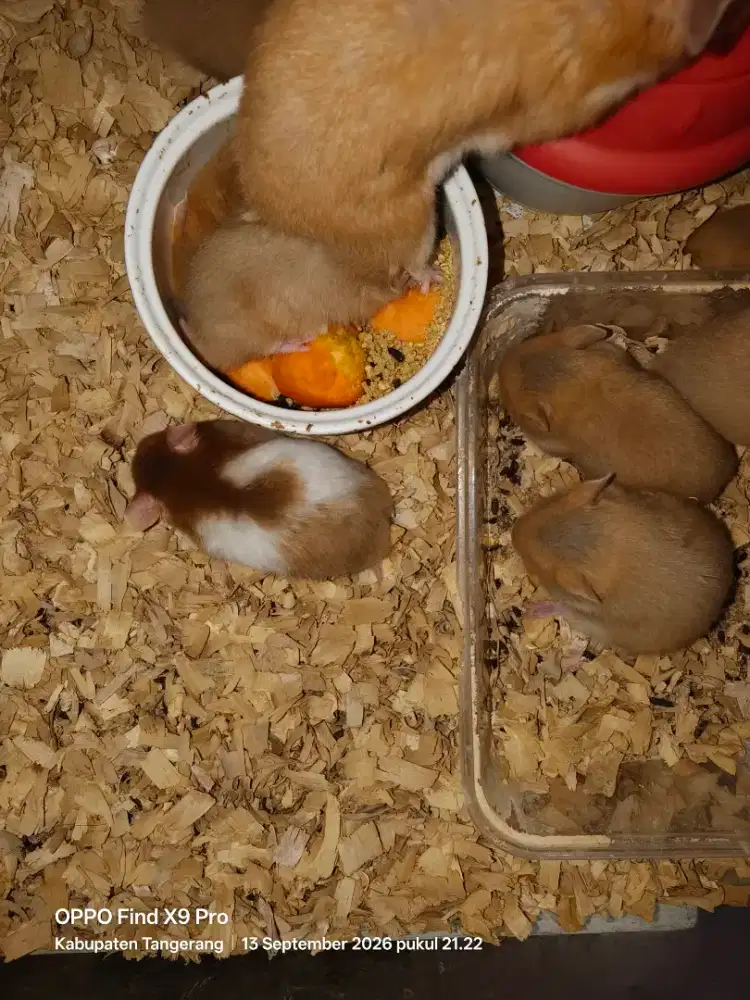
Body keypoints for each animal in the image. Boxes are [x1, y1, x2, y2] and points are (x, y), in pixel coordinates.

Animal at [511, 475, 734, 655]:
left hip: (609, 630)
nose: (513, 533)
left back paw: (534, 609)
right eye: (549, 501)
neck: (607, 547)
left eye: (536, 574)